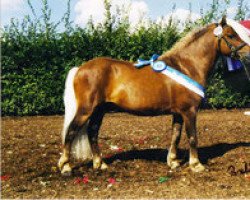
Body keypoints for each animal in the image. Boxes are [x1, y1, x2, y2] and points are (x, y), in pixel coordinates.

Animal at [58, 17, 250, 177]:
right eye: (231, 35)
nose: (247, 52)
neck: (187, 66)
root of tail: (80, 68)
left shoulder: (178, 112)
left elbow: (176, 135)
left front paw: (173, 162)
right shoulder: (190, 111)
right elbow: (192, 137)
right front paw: (196, 165)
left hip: (100, 110)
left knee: (92, 132)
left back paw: (100, 164)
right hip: (86, 110)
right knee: (71, 132)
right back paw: (66, 167)